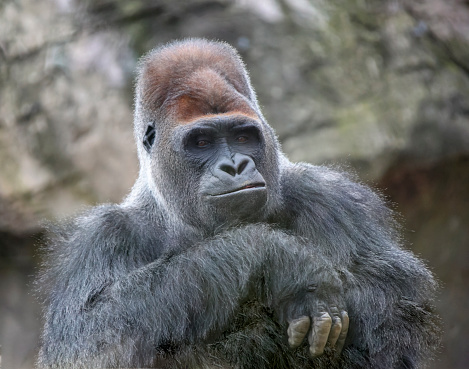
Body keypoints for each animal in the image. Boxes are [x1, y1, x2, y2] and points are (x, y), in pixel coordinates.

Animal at [37, 38, 438, 366]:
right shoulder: (102, 236)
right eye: (201, 142)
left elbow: (395, 307)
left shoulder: (332, 197)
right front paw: (280, 259)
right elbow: (89, 343)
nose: (234, 165)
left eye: (243, 136)